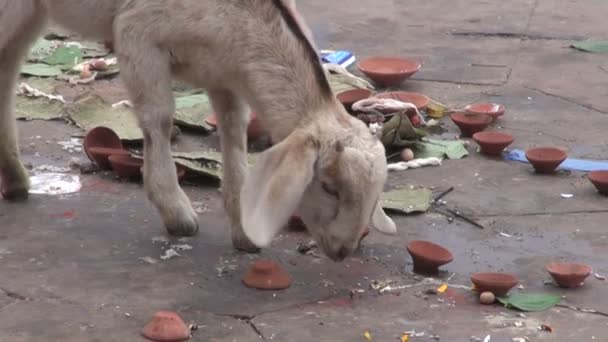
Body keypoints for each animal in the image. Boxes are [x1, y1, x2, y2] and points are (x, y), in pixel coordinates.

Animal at [0, 0, 396, 260]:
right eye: (328, 186)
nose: (344, 251)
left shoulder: (225, 72)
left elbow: (234, 131)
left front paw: (242, 229)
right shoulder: (137, 34)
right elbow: (159, 119)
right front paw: (176, 214)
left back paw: (15, 178)